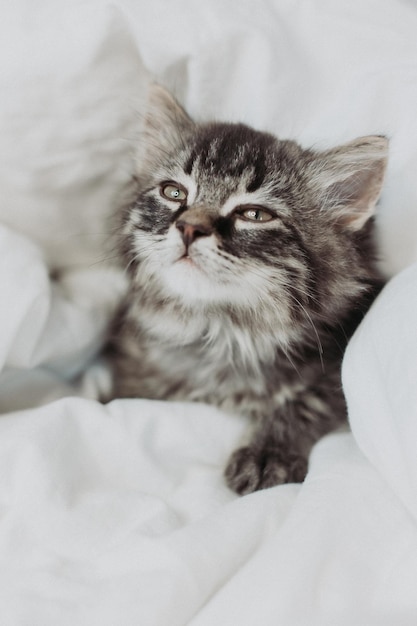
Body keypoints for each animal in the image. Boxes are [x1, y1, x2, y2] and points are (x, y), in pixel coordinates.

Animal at [105, 84, 386, 492]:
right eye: (174, 193)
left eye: (254, 214)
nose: (189, 227)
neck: (220, 334)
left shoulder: (337, 369)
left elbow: (306, 401)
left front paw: (268, 452)